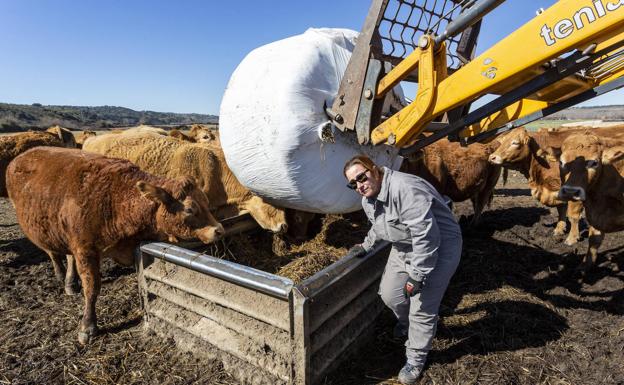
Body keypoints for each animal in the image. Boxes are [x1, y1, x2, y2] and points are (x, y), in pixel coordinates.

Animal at [6, 146, 224, 342]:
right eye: (189, 209)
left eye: (206, 202)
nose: (219, 230)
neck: (116, 199)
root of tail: (22, 156)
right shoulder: (85, 250)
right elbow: (92, 287)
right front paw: (87, 327)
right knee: (52, 252)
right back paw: (61, 275)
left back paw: (70, 282)